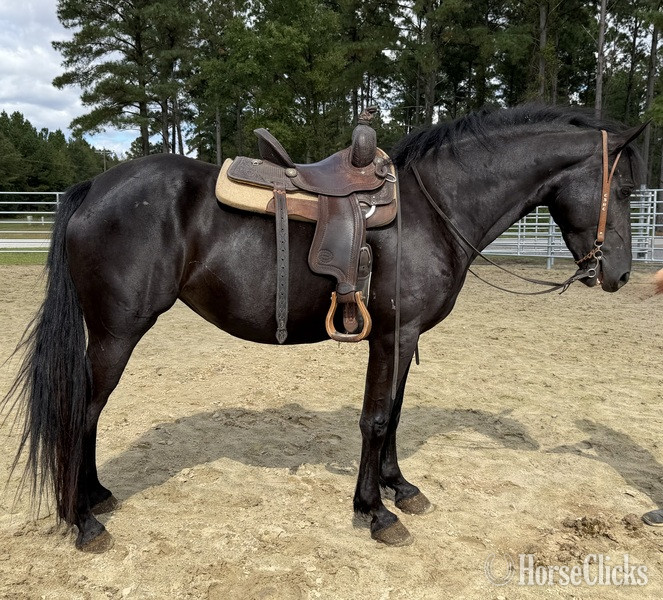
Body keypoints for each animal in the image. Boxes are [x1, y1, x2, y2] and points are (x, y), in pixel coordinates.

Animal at [2, 105, 645, 551]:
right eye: (626, 188)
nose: (618, 273)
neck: (434, 210)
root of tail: (93, 187)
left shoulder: (402, 337)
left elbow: (394, 414)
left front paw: (399, 488)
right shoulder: (391, 335)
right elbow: (376, 418)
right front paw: (375, 512)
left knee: (87, 414)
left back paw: (96, 497)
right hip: (117, 332)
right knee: (80, 410)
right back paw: (82, 520)